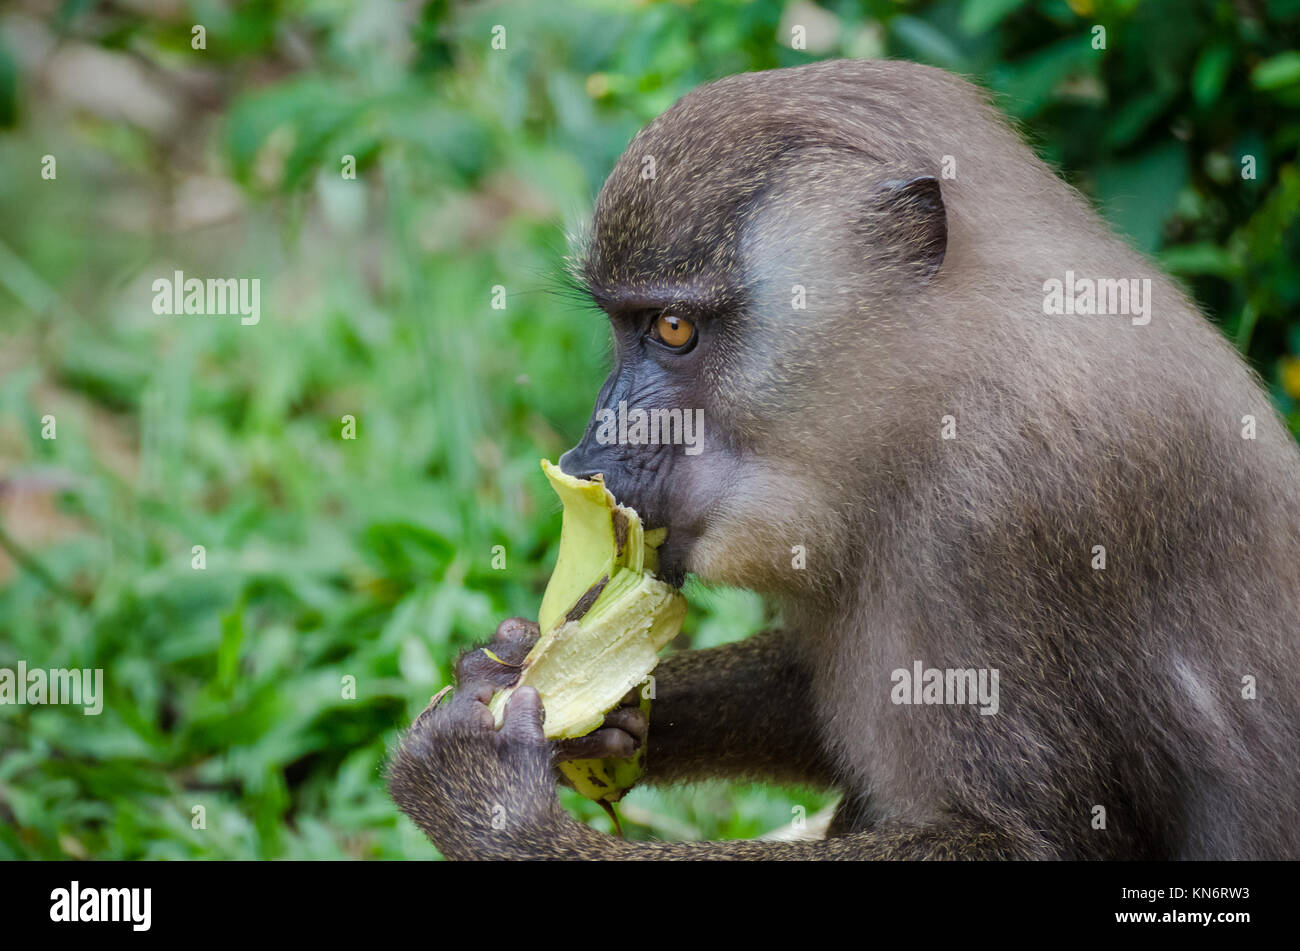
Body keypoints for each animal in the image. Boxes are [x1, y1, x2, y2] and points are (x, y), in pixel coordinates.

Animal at [384, 59, 1300, 862]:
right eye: (621, 325)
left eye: (672, 328)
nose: (592, 453)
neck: (936, 397)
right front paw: (544, 688)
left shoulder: (1017, 508)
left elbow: (1034, 839)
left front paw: (486, 801)